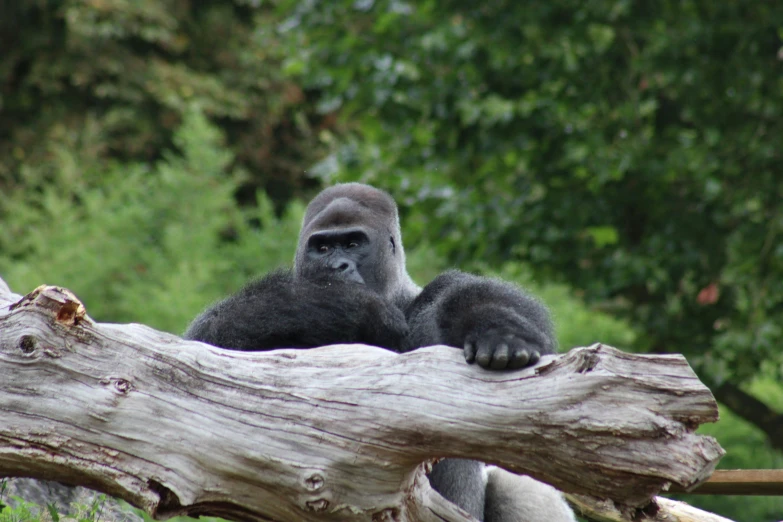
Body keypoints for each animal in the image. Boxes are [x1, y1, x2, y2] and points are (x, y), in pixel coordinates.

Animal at [185, 183, 576, 520]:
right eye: (322, 248)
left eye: (353, 243)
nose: (337, 267)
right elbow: (205, 349)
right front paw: (343, 305)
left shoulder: (436, 294)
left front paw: (501, 329)